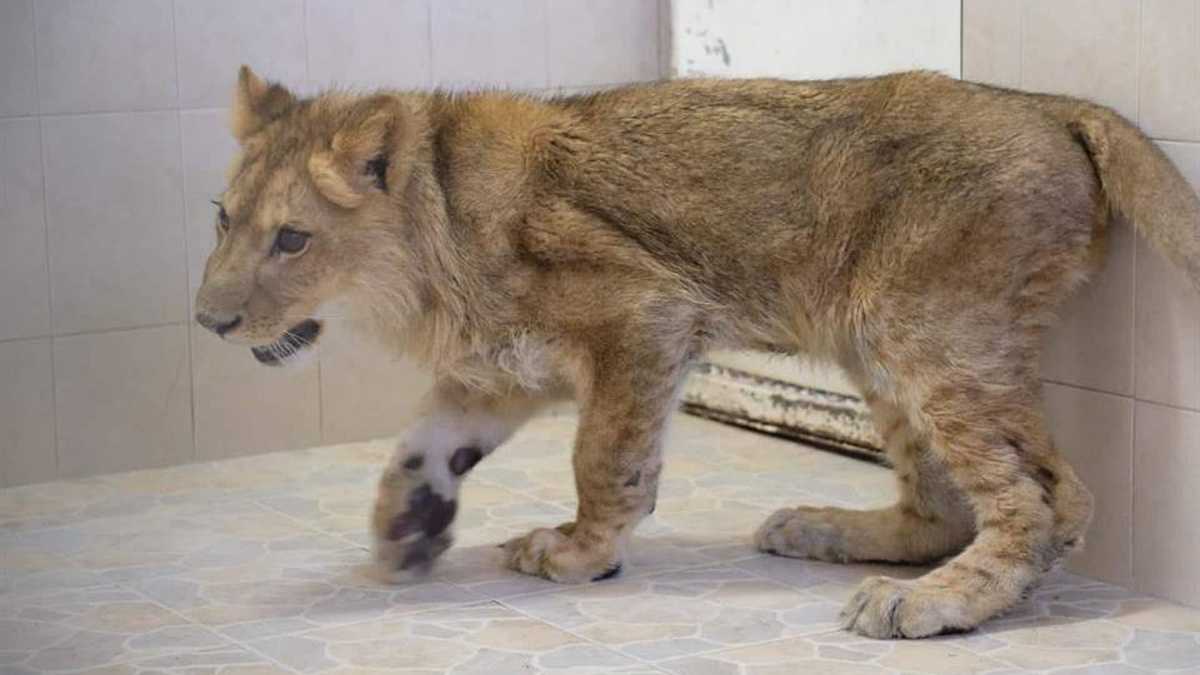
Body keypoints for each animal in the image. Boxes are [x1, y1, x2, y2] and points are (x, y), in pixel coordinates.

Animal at [194, 66, 1200, 638]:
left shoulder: (643, 311)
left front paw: (579, 553)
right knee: (945, 503)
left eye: (292, 240)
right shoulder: (500, 361)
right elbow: (429, 437)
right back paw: (827, 530)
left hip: (931, 324)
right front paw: (408, 523)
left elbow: (604, 457)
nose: (207, 319)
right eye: (222, 218)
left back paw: (932, 603)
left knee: (1047, 495)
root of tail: (1055, 105)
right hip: (878, 339)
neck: (433, 228)